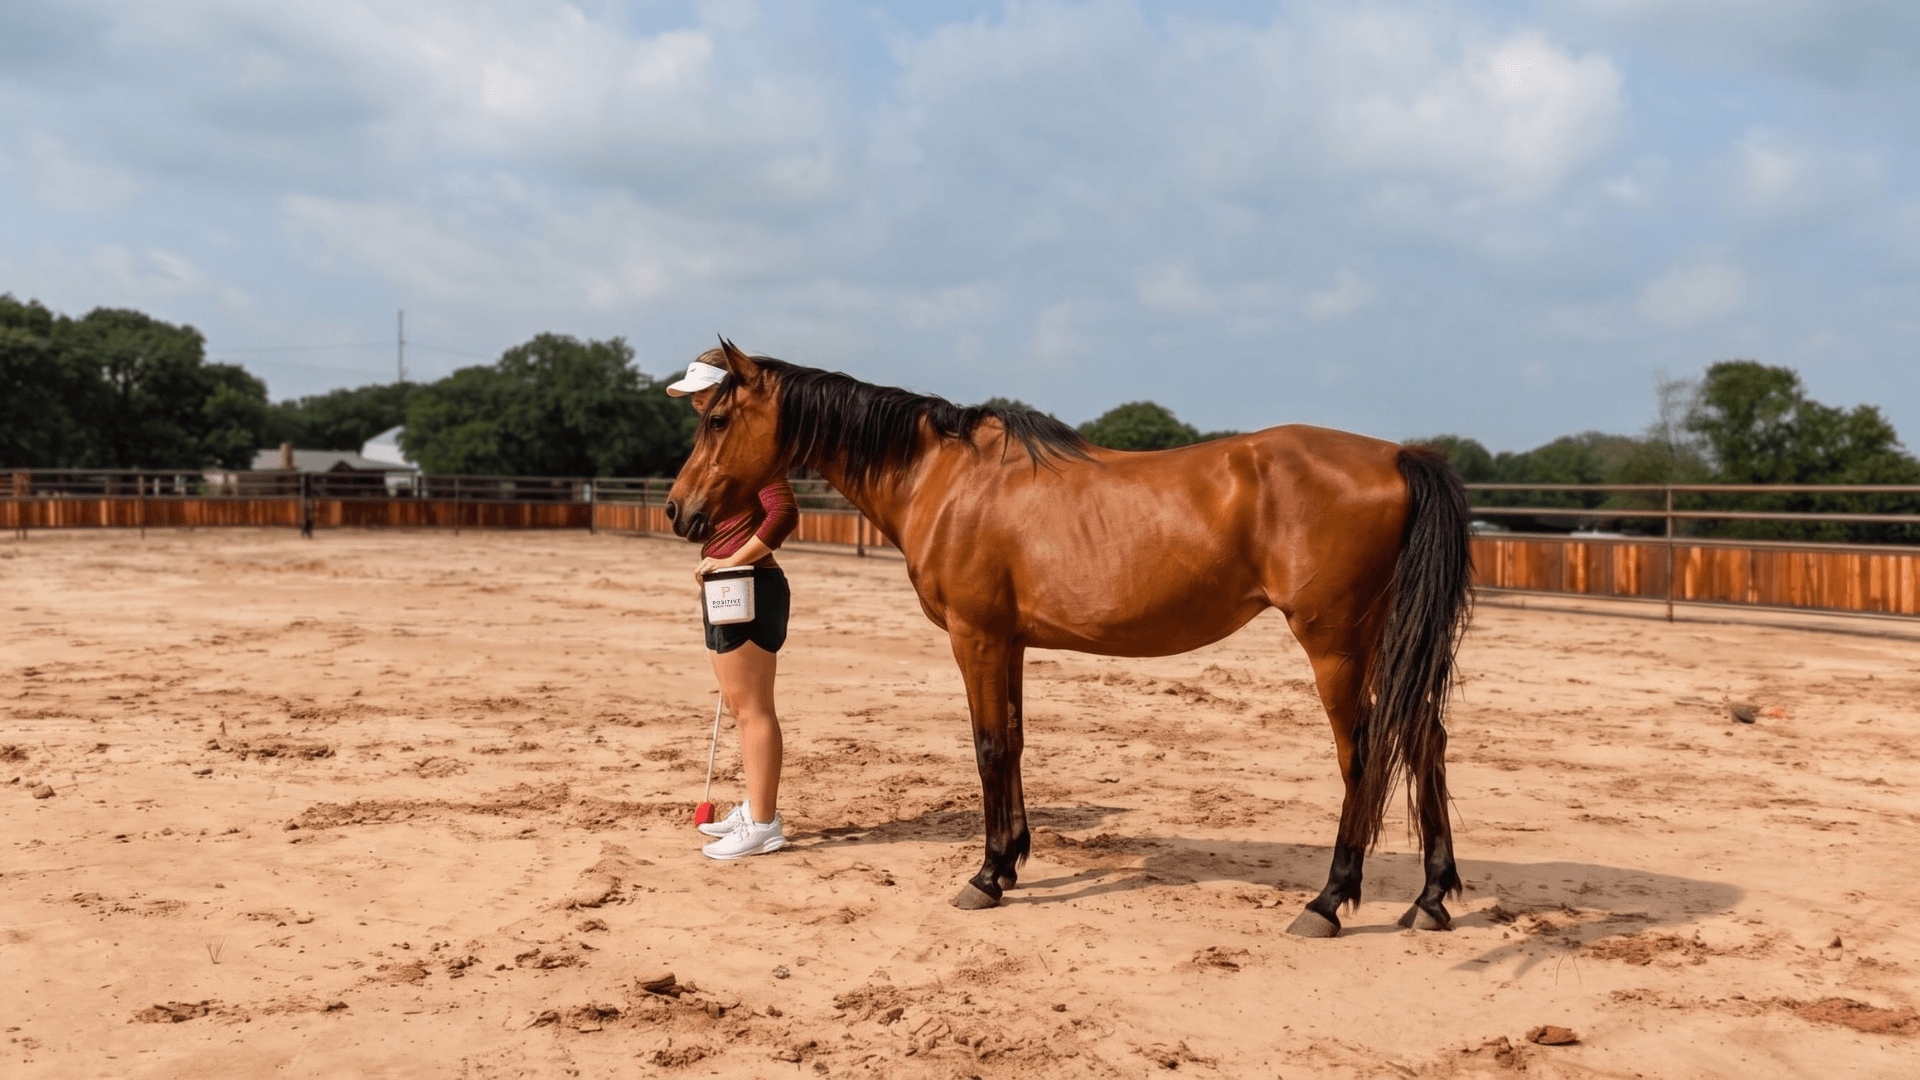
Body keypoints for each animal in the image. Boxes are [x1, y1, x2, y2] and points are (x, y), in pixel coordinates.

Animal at [665, 340, 1473, 937]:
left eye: (717, 419)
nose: (679, 511)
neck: (941, 476)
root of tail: (1399, 456)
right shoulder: (1011, 642)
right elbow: (1016, 741)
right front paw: (1013, 860)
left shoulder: (977, 637)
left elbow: (989, 746)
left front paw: (986, 876)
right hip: (1382, 643)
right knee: (1425, 739)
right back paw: (1431, 898)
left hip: (1336, 645)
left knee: (1363, 755)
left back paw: (1329, 902)